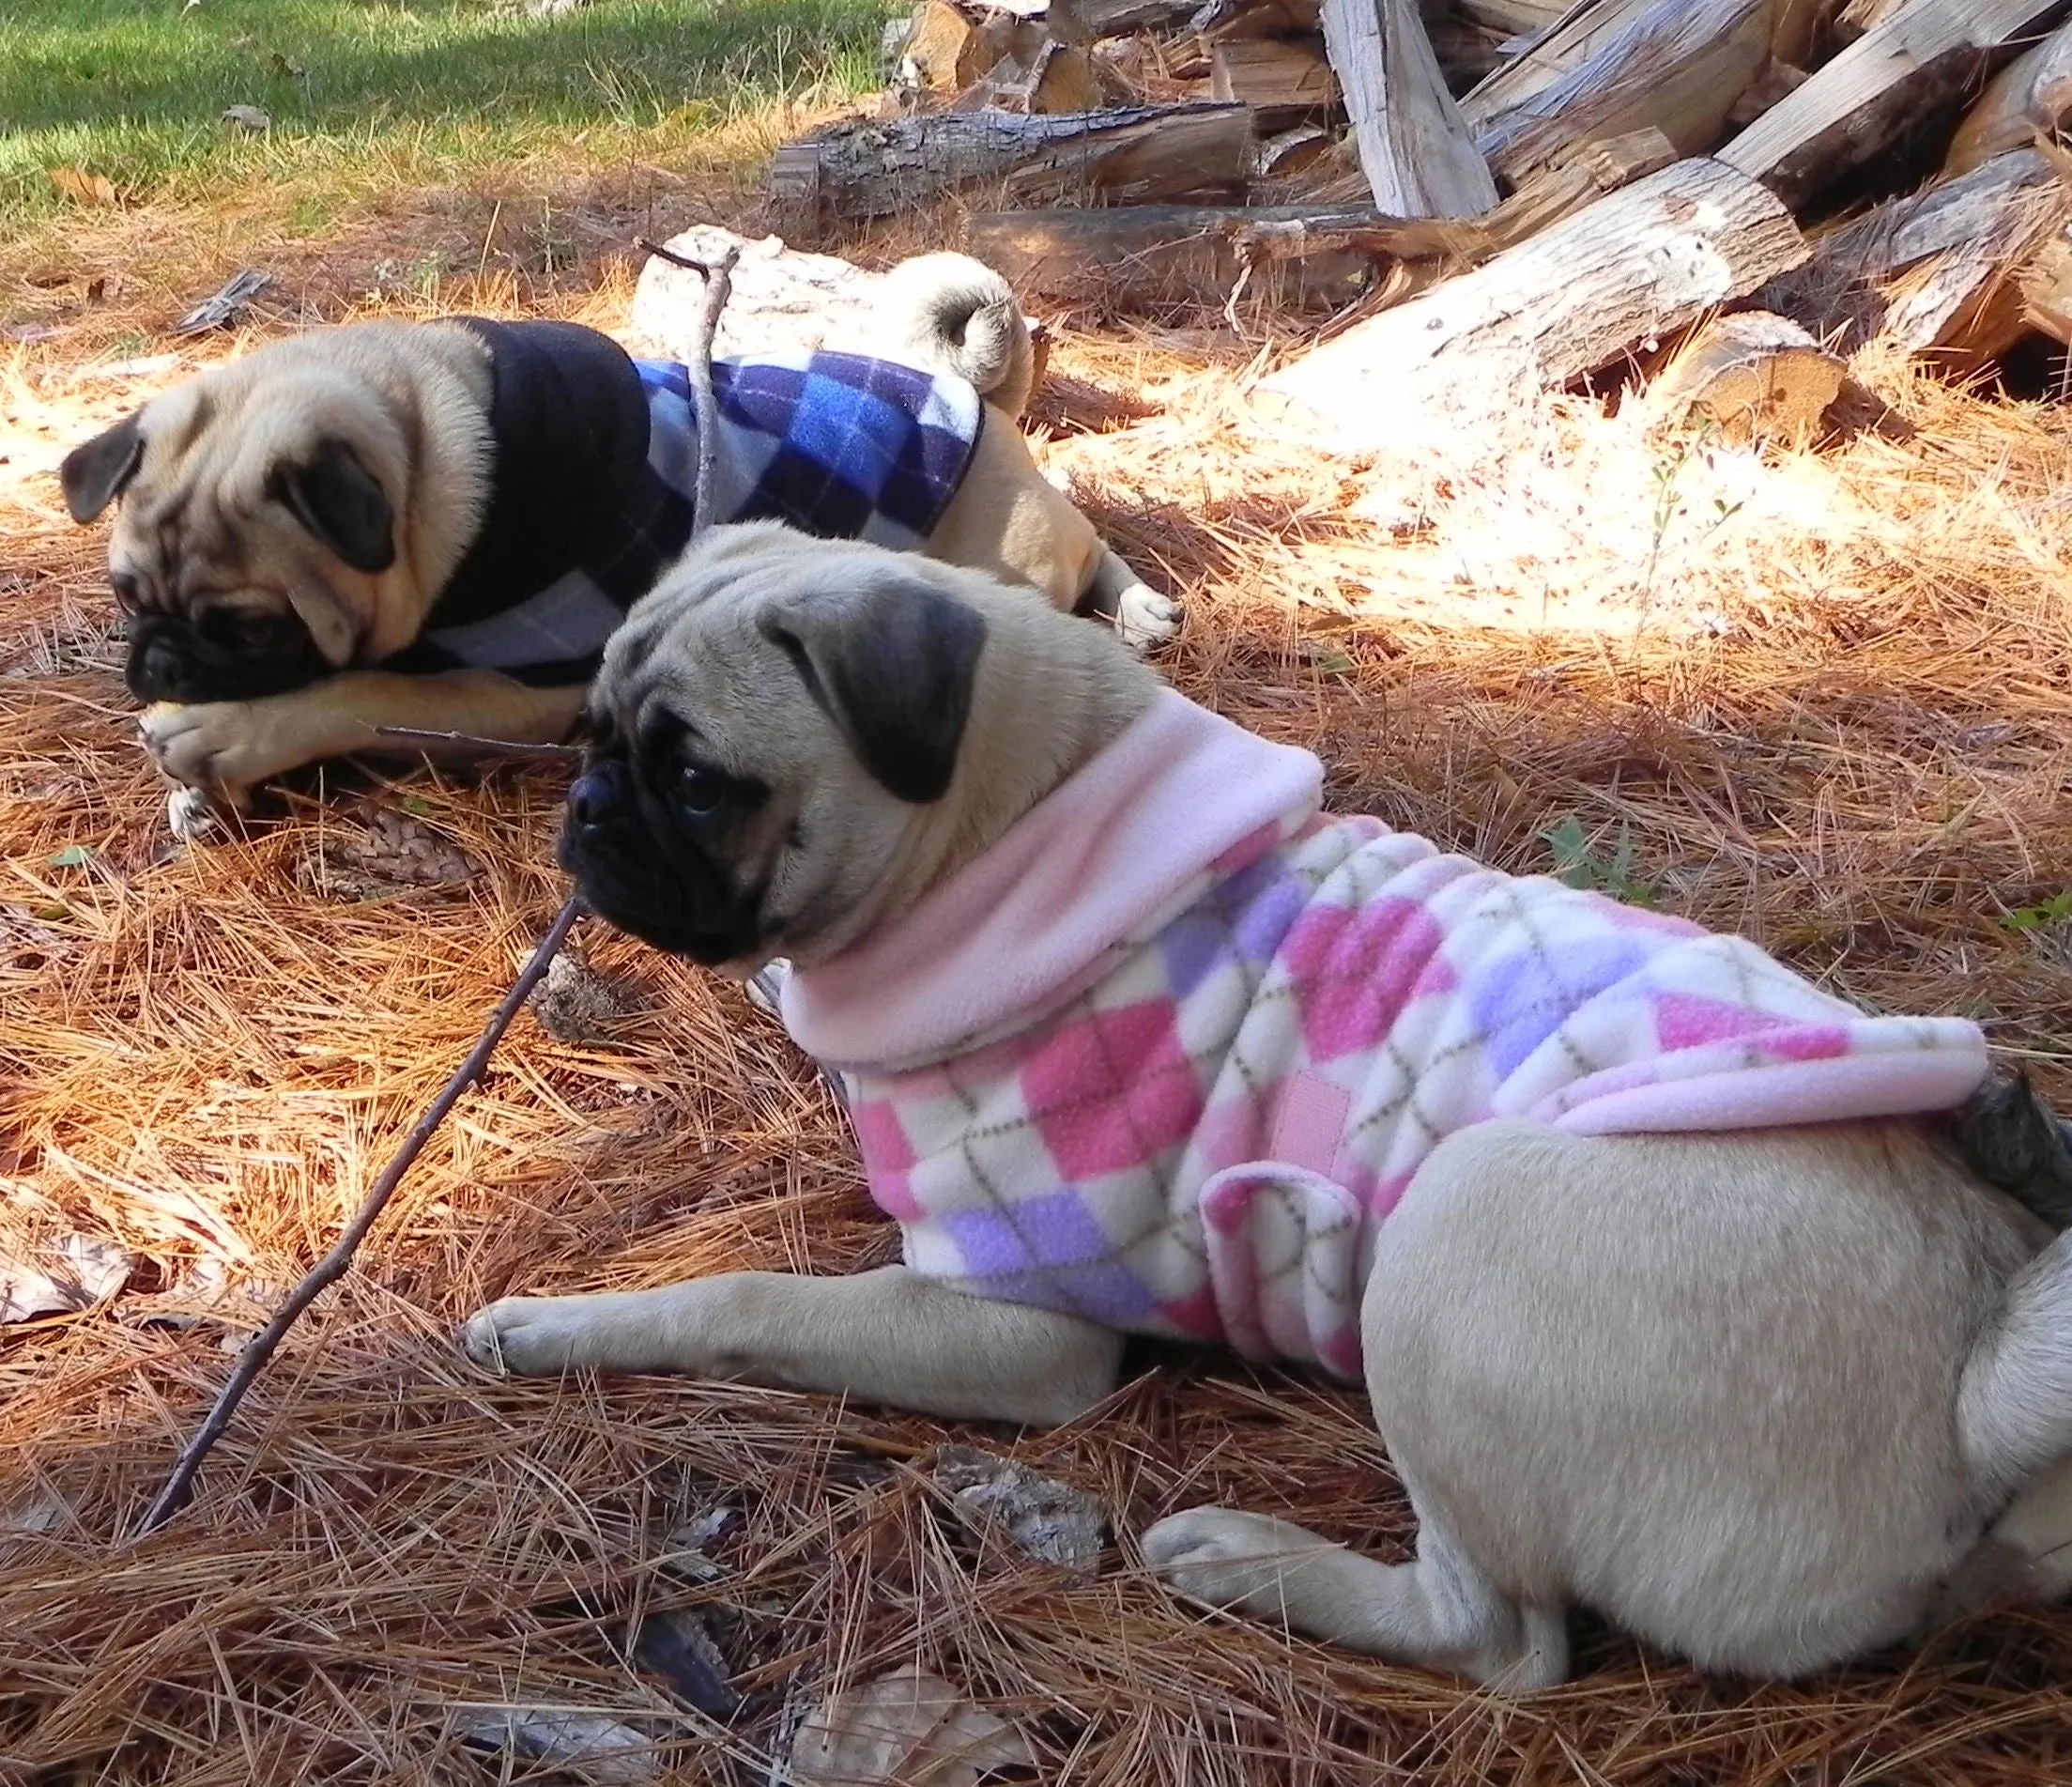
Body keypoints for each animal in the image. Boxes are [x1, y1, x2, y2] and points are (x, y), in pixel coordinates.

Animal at [56, 252, 1176, 837]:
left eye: (250, 630)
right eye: (125, 597)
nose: (158, 658)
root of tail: (957, 386)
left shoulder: (523, 691)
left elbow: (365, 692)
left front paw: (229, 734)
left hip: (999, 546)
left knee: (1079, 556)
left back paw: (1138, 609)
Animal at [462, 528, 2072, 1691]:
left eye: (693, 780)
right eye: (594, 734)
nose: (586, 807)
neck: (1008, 833)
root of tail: (1970, 1380)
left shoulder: (1015, 1324)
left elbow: (741, 1294)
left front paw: (560, 1321)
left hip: (1447, 1237)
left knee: (1503, 1643)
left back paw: (1248, 1561)